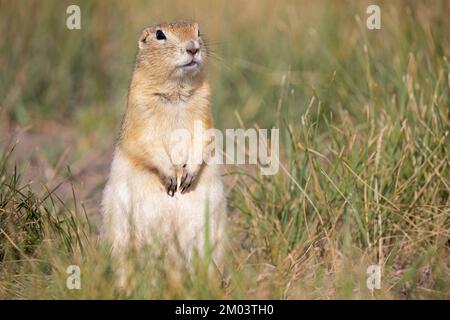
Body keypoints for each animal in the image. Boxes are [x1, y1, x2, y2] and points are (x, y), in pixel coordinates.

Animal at [103, 21, 227, 284]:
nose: (193, 47)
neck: (176, 90)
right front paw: (172, 177)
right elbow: (146, 143)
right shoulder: (139, 115)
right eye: (160, 35)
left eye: (197, 30)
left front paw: (187, 176)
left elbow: (204, 138)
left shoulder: (205, 112)